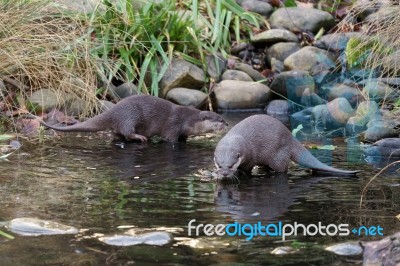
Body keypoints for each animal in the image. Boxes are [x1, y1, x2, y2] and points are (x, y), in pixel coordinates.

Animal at [41, 94, 228, 142]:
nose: (226, 123)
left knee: (117, 134)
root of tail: (114, 110)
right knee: (127, 132)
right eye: (219, 119)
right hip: (129, 117)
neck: (187, 119)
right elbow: (169, 139)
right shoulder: (173, 125)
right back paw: (140, 137)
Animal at [214, 114, 360, 181]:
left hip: (279, 156)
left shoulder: (250, 157)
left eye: (231, 165)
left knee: (282, 169)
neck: (238, 138)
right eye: (220, 165)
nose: (225, 173)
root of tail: (291, 139)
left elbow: (247, 169)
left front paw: (239, 173)